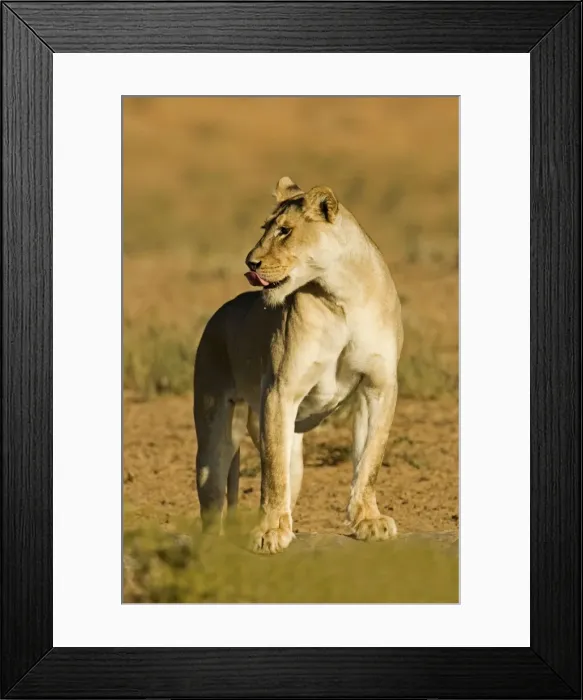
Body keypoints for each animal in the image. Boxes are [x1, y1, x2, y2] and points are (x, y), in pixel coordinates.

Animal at [194, 177, 403, 554]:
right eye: (265, 228)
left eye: (285, 231)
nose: (251, 263)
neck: (342, 296)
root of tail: (220, 313)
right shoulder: (281, 390)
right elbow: (272, 473)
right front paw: (268, 532)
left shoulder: (378, 386)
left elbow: (369, 460)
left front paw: (368, 520)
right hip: (215, 433)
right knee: (214, 492)